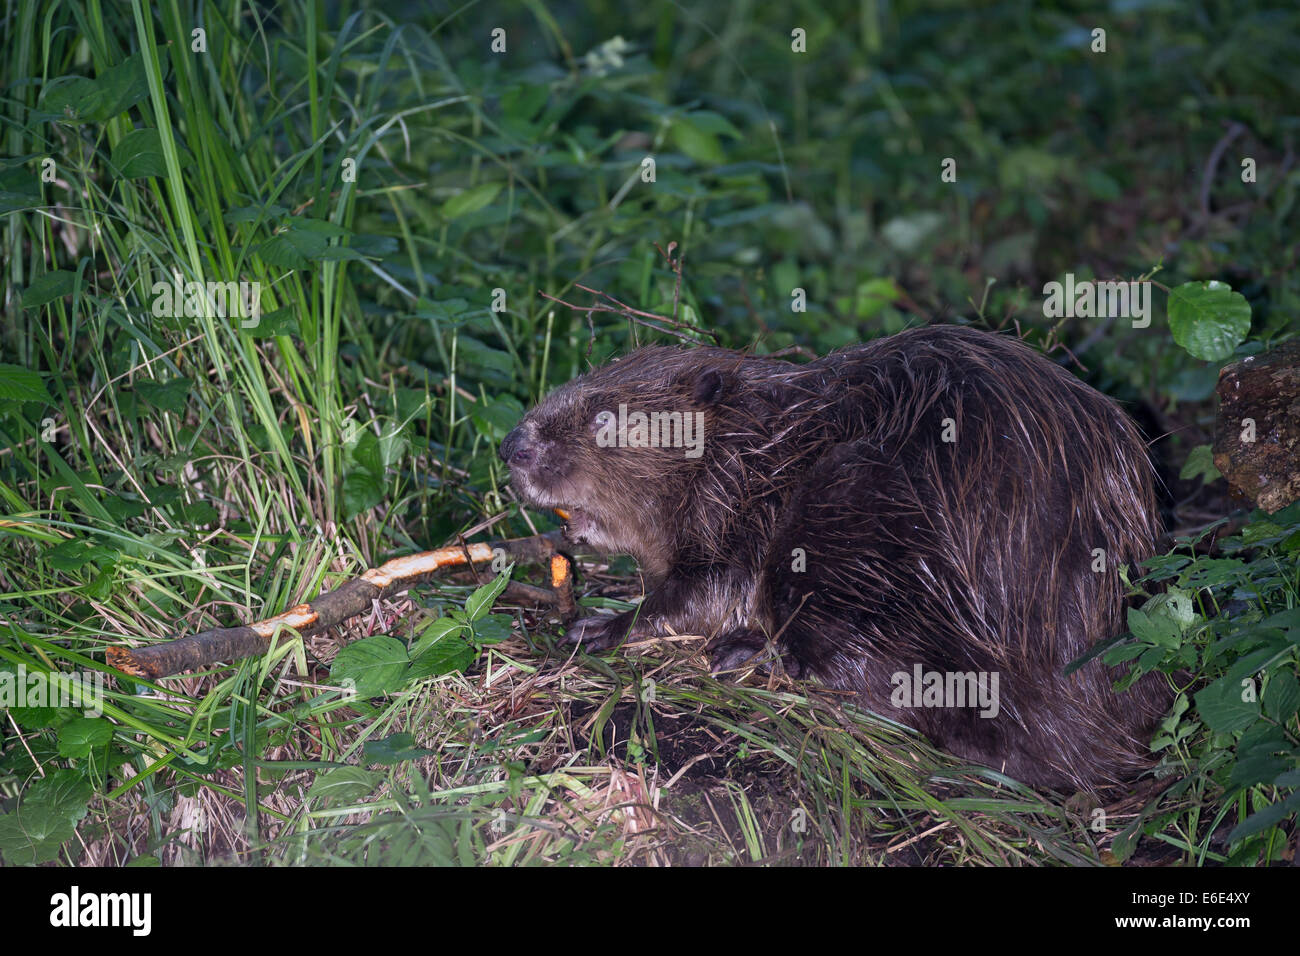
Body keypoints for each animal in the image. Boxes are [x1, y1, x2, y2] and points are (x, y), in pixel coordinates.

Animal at [496, 325, 1170, 790]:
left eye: (604, 415)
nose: (511, 445)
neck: (759, 440)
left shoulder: (745, 500)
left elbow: (706, 591)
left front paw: (597, 626)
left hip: (849, 502)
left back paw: (750, 654)